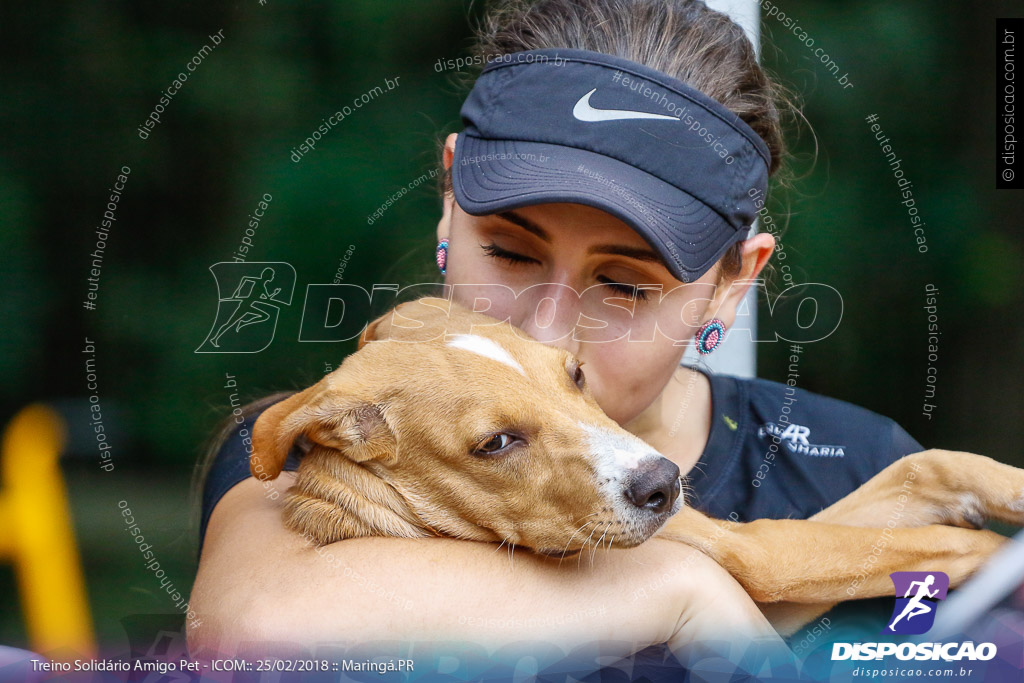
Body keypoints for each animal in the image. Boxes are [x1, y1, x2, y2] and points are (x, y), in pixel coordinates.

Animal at [249, 296, 1024, 634]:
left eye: (576, 375)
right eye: (495, 443)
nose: (664, 483)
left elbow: (929, 468)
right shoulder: (761, 555)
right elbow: (939, 541)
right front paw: (995, 556)